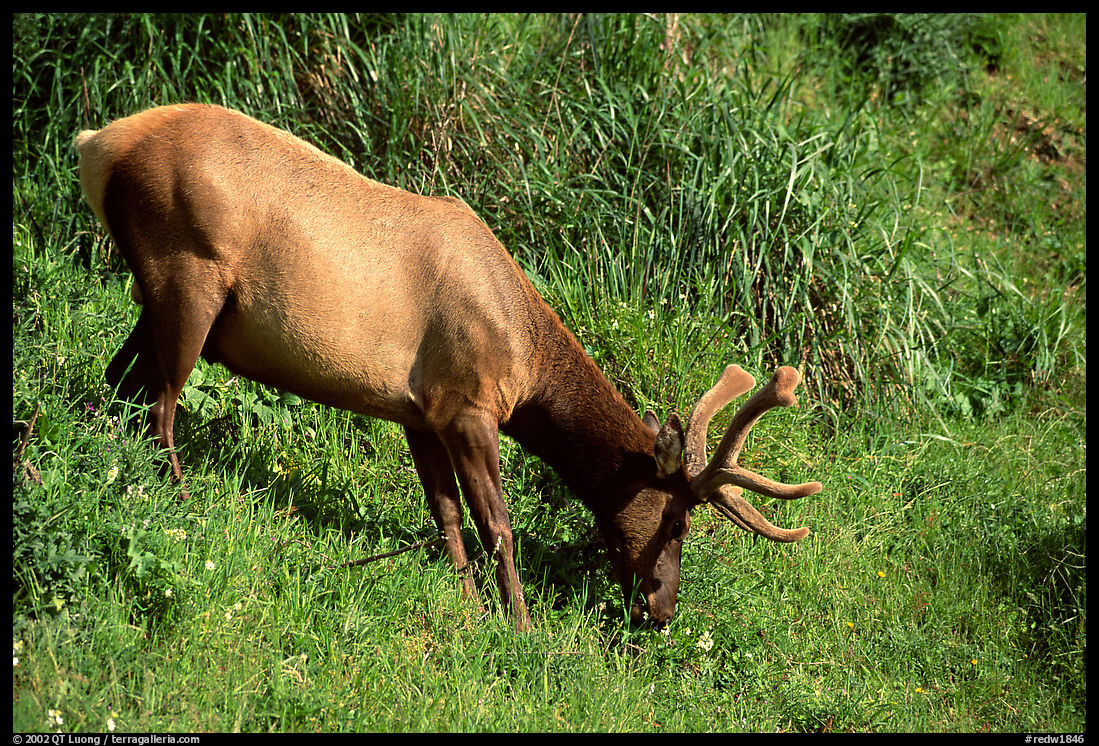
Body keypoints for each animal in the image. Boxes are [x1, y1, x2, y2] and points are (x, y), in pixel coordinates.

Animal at [74, 104, 822, 632]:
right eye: (677, 523)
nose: (661, 610)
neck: (525, 362)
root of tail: (97, 145)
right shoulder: (468, 405)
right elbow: (497, 525)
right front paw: (518, 626)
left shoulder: (419, 411)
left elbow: (446, 520)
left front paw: (465, 607)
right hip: (188, 273)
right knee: (160, 403)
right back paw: (180, 506)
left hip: (156, 293)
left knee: (115, 385)